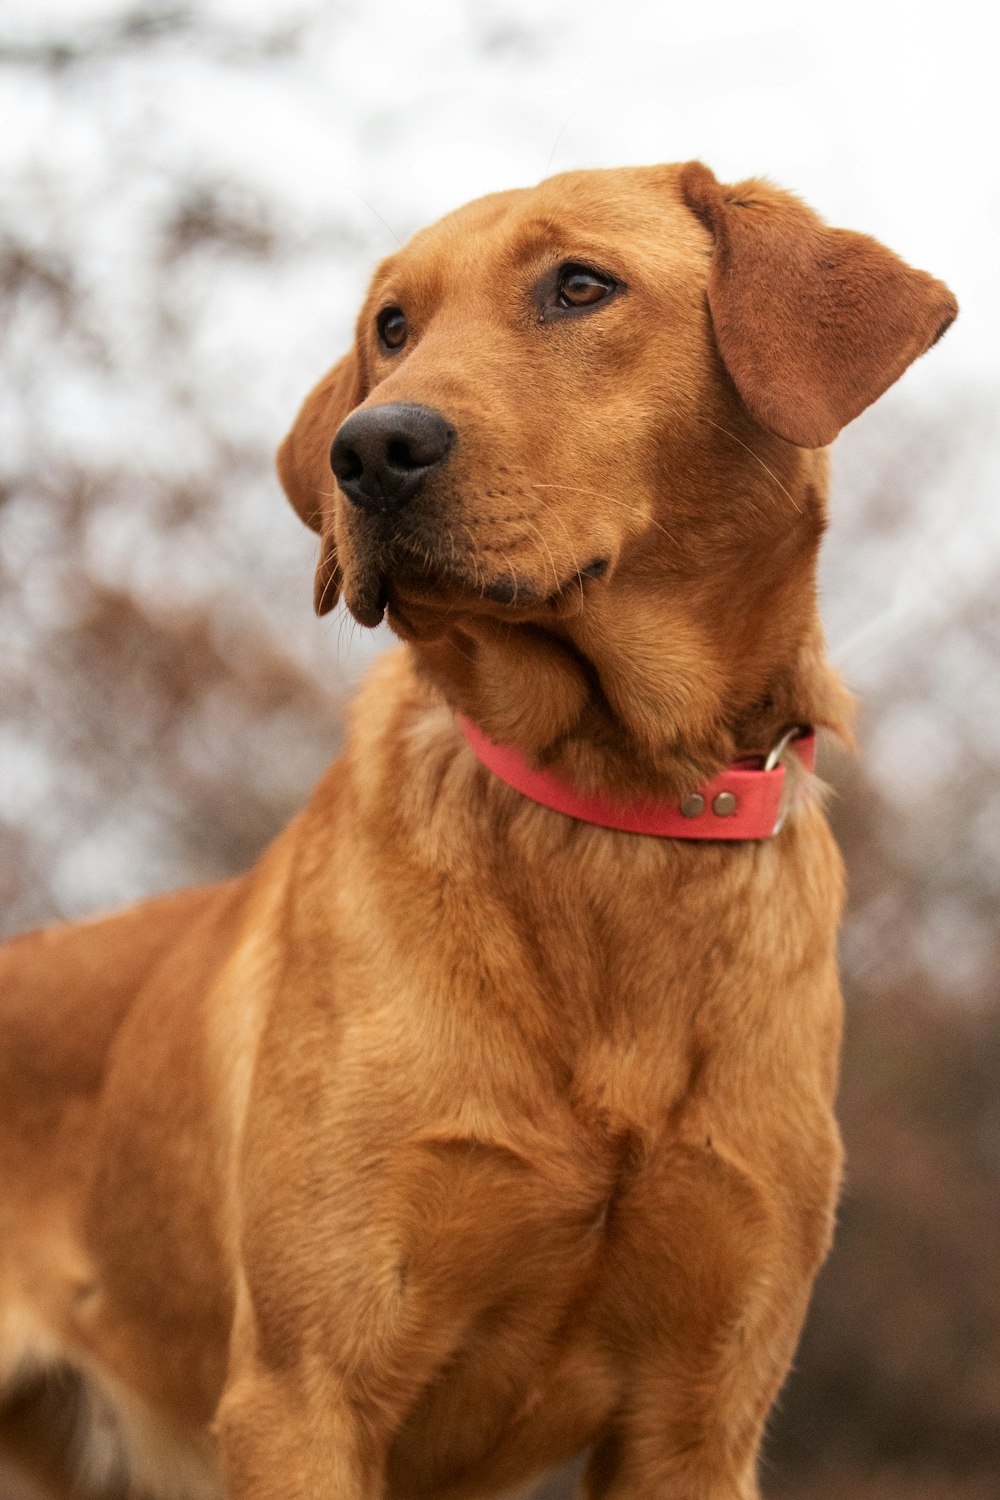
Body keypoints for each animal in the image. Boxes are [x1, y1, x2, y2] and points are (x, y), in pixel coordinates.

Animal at [0, 164, 953, 1500]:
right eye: (392, 327)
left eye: (579, 286)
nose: (367, 447)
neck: (611, 797)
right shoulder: (306, 1393)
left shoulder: (701, 1415)